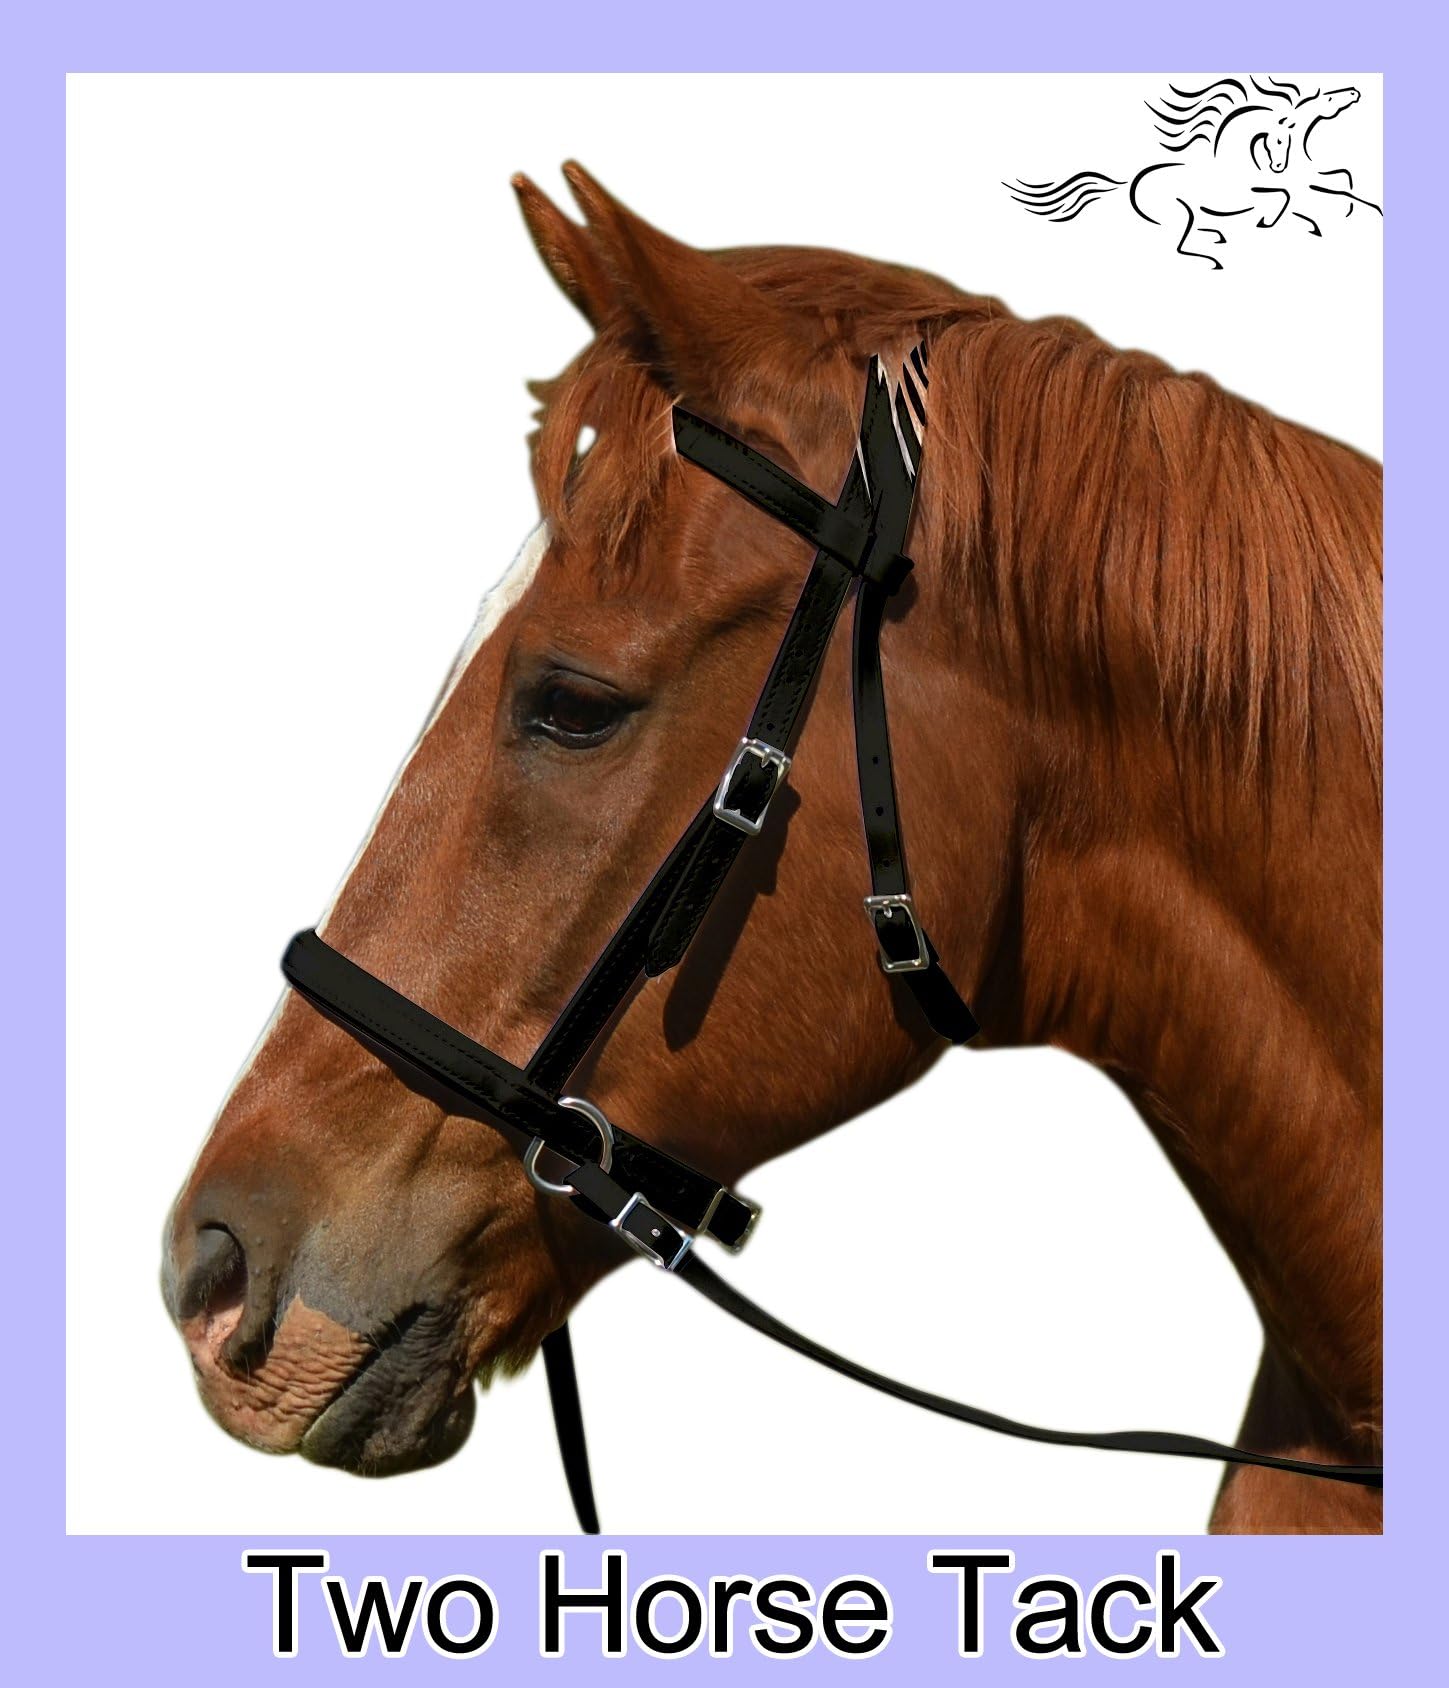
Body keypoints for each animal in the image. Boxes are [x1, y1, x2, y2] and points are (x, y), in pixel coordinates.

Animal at [1007, 76, 1382, 268]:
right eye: (1277, 138)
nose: (1354, 92)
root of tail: (1129, 184)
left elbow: (1328, 184)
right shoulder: (1266, 190)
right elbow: (1287, 196)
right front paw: (1278, 221)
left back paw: (1216, 235)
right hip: (1179, 213)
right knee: (1182, 245)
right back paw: (1212, 252)